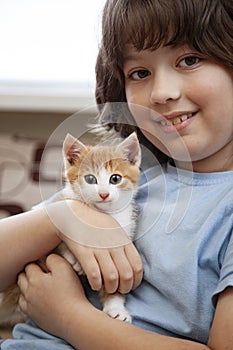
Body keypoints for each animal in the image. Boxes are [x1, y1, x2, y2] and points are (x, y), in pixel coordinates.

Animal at [0, 131, 142, 326]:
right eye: (90, 179)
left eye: (115, 179)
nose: (103, 194)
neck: (103, 214)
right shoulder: (53, 204)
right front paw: (73, 257)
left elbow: (116, 281)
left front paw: (116, 308)